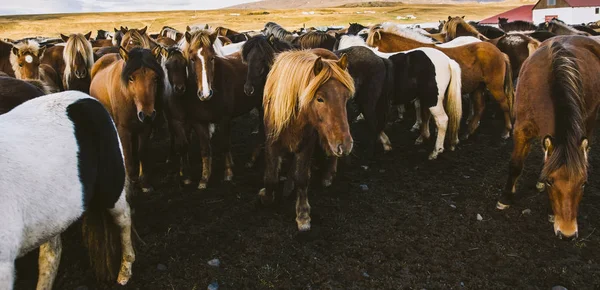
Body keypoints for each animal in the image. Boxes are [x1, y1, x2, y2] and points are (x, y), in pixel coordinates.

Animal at [89, 46, 164, 193]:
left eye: (155, 78)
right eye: (131, 78)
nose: (147, 115)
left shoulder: (145, 128)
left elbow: (141, 153)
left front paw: (144, 183)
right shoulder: (123, 129)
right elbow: (127, 155)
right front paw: (131, 183)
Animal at [182, 28, 258, 188]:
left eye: (212, 58)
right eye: (192, 59)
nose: (205, 93)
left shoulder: (224, 119)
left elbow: (225, 145)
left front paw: (228, 173)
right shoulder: (198, 122)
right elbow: (205, 149)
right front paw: (204, 178)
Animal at [258, 49, 354, 231]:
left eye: (346, 98)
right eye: (319, 98)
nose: (345, 145)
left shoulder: (307, 144)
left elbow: (302, 178)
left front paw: (303, 216)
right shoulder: (271, 142)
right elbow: (270, 176)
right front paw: (266, 198)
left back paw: (328, 175)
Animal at [366, 28, 516, 140]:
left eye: (372, 47)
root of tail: (500, 53)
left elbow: (426, 114)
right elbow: (425, 114)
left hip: (495, 87)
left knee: (504, 104)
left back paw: (506, 131)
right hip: (478, 87)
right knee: (480, 107)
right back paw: (468, 132)